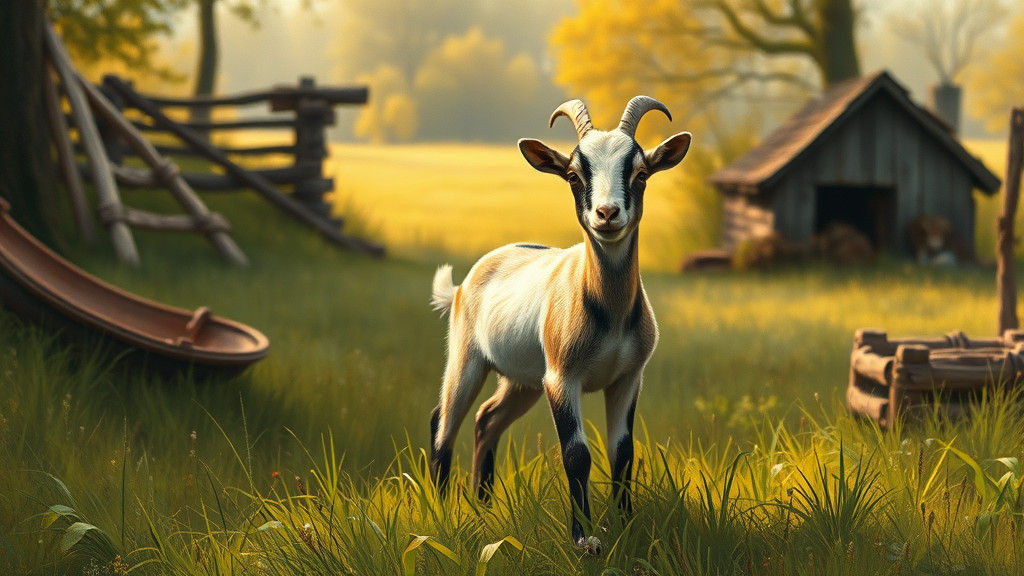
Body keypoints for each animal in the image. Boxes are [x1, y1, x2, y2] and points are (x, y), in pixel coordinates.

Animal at [429, 96, 691, 554]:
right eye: (573, 174)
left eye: (640, 173)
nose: (607, 213)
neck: (609, 314)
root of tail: (462, 285)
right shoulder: (562, 378)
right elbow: (577, 454)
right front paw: (585, 539)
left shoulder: (627, 377)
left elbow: (623, 451)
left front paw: (625, 524)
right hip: (468, 359)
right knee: (444, 422)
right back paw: (446, 513)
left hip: (522, 382)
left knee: (486, 419)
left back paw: (484, 508)